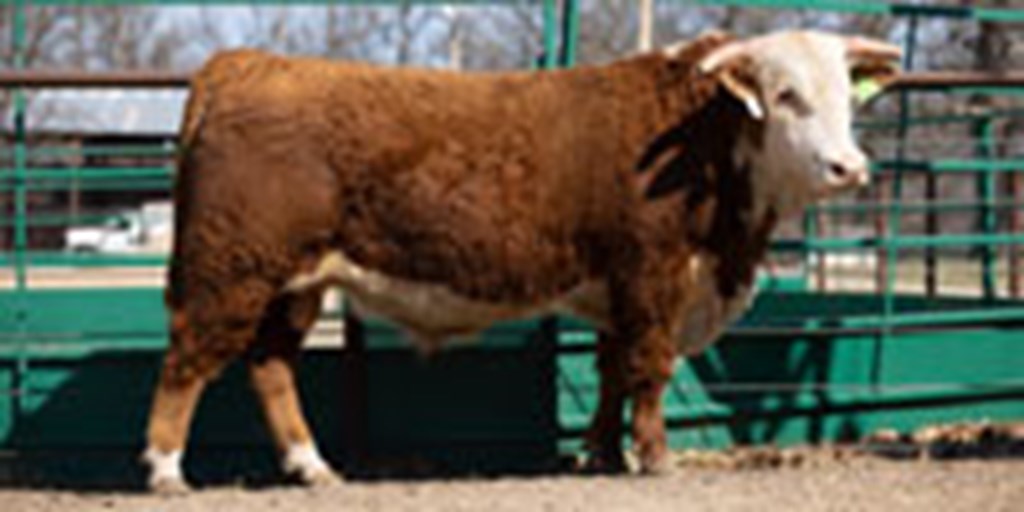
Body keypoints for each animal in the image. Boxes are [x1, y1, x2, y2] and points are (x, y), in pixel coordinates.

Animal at [142, 29, 897, 491]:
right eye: (786, 95)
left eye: (846, 97)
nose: (850, 167)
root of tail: (247, 63)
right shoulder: (653, 275)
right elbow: (649, 371)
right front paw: (654, 458)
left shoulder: (618, 292)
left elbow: (613, 373)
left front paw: (601, 454)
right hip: (229, 271)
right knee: (186, 360)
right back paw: (166, 469)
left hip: (297, 282)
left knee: (270, 367)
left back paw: (312, 466)